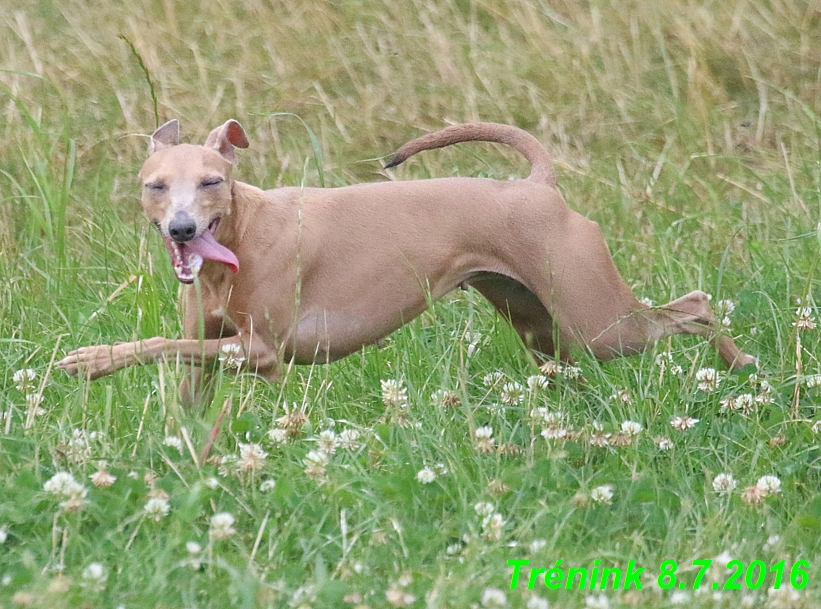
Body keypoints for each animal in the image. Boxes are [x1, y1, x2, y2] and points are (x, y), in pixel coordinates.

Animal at [54, 119, 752, 400]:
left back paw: (740, 364)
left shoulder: (262, 353)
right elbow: (182, 375)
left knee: (694, 307)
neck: (242, 237)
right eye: (155, 185)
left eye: (210, 182)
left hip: (598, 322)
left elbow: (157, 344)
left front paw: (91, 360)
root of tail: (538, 185)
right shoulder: (211, 351)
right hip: (541, 325)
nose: (182, 228)